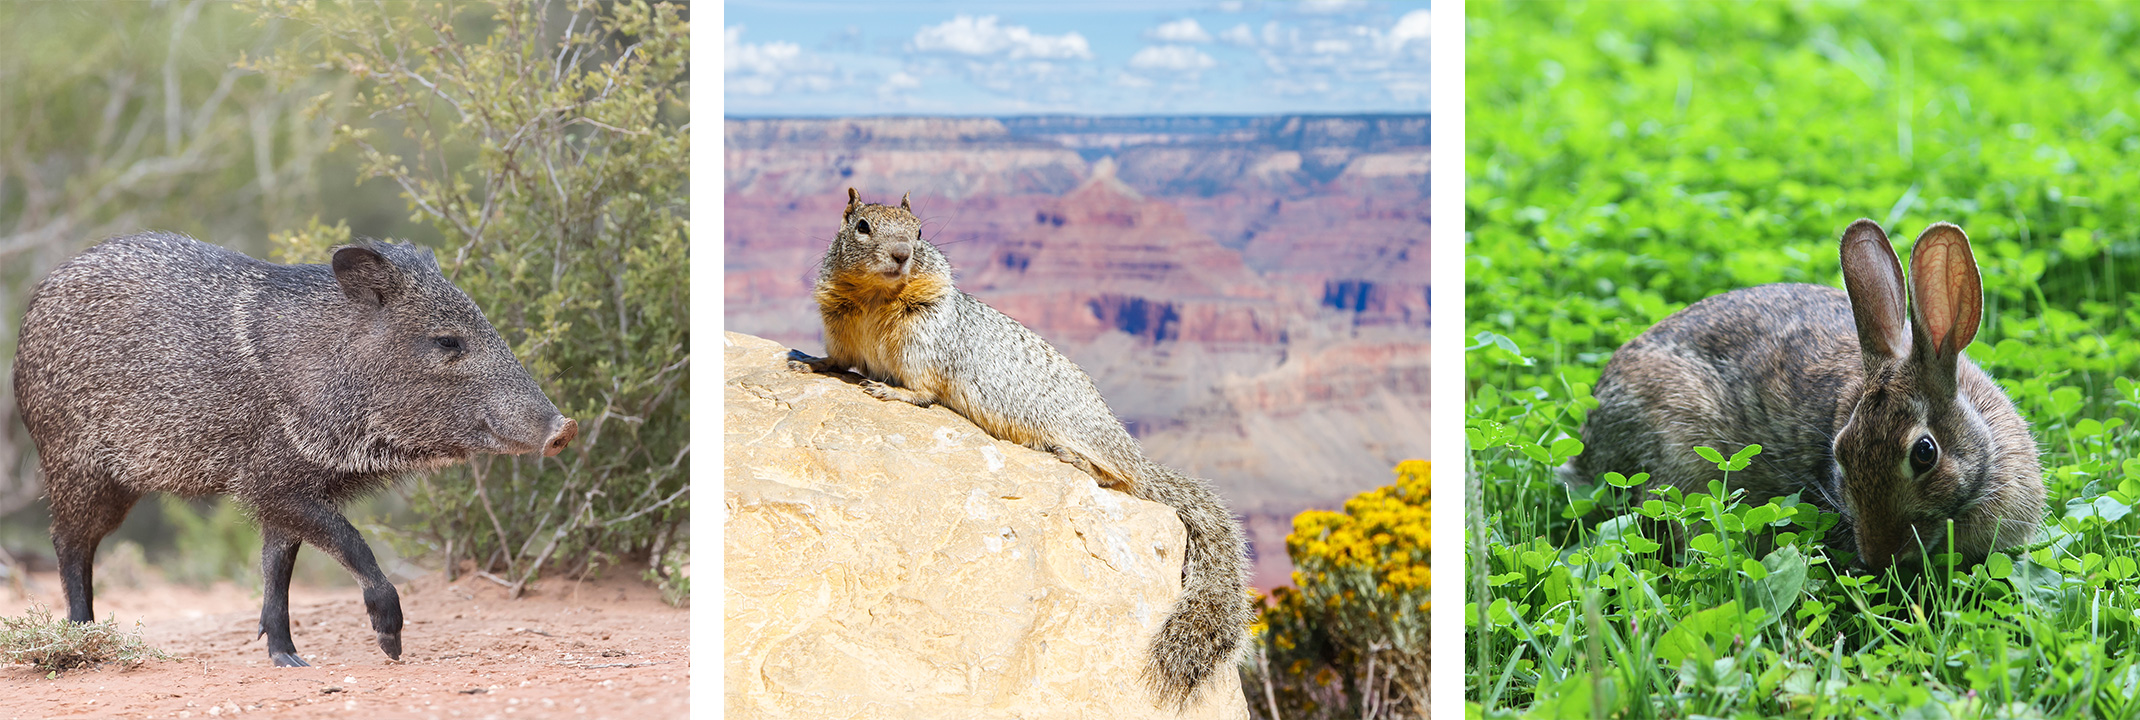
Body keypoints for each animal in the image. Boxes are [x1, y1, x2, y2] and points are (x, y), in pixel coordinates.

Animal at [787, 188, 1249, 711]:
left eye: (920, 231)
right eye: (862, 226)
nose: (903, 254)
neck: (874, 296)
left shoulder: (923, 339)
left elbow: (923, 388)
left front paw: (892, 392)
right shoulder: (840, 324)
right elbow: (837, 359)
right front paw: (809, 362)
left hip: (1081, 431)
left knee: (1122, 478)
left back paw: (1076, 459)